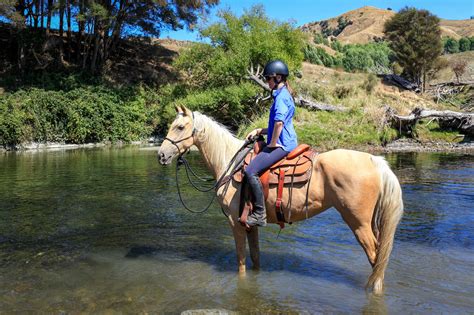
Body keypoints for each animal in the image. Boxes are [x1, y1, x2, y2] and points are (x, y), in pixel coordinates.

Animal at [157, 105, 402, 296]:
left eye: (180, 127)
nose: (161, 155)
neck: (229, 162)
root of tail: (374, 160)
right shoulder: (250, 224)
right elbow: (255, 258)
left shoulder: (235, 222)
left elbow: (241, 262)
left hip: (358, 222)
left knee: (376, 258)